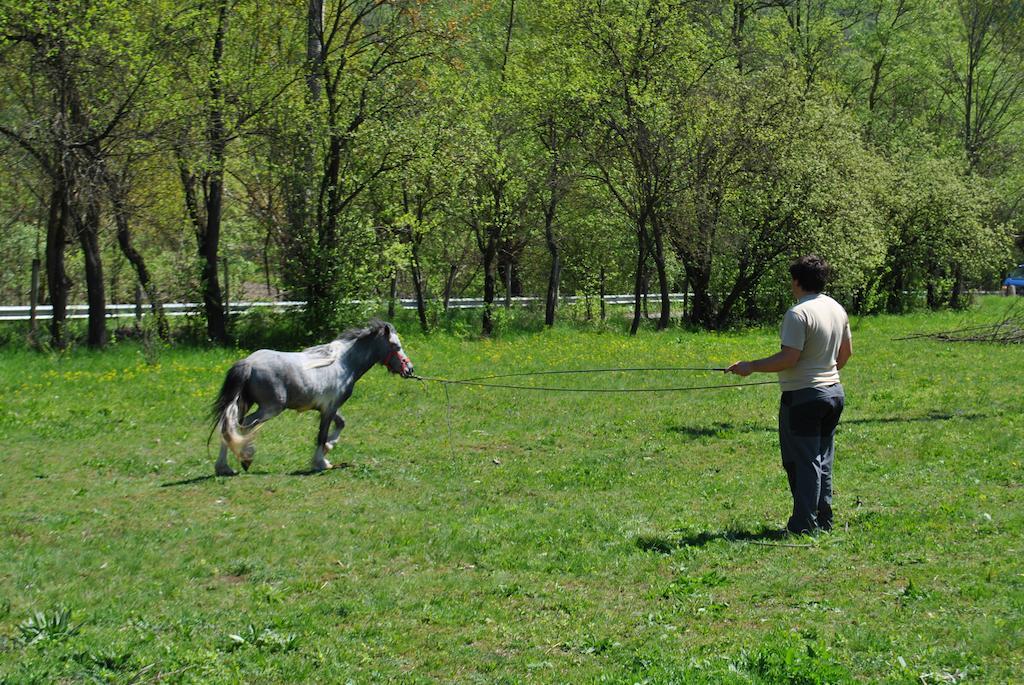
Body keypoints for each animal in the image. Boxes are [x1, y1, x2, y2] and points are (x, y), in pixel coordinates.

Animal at [209, 321, 413, 475]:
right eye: (396, 346)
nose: (409, 369)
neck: (344, 363)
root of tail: (248, 363)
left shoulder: (328, 407)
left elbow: (341, 423)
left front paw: (328, 448)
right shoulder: (329, 409)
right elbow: (321, 435)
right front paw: (321, 462)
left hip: (243, 403)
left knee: (228, 426)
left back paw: (224, 468)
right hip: (270, 408)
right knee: (245, 425)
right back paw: (247, 457)